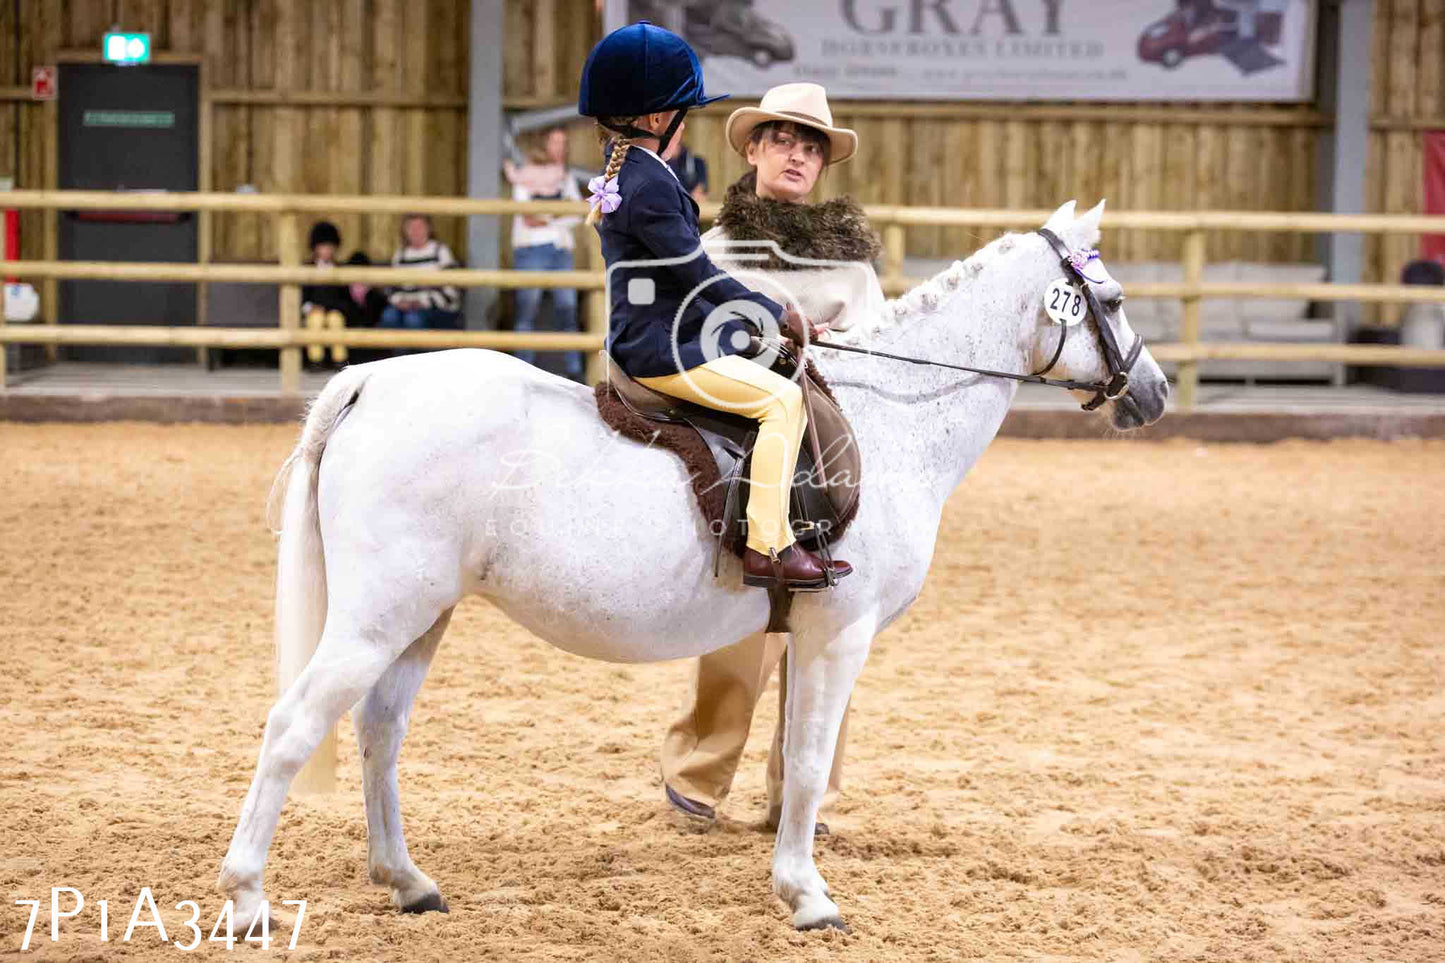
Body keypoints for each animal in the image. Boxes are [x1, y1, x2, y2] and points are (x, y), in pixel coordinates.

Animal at [216, 198, 1161, 925]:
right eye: (1111, 298)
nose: (1150, 393)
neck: (893, 418)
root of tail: (373, 381)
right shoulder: (840, 632)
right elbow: (809, 762)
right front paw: (807, 895)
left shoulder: (807, 635)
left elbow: (794, 757)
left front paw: (791, 874)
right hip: (377, 618)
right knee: (293, 727)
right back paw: (247, 897)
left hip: (420, 618)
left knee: (378, 732)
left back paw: (407, 881)